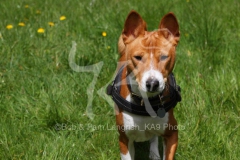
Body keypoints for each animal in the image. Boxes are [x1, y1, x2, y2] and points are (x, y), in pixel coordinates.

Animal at [107, 10, 180, 159]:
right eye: (138, 57)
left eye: (164, 57)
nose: (152, 83)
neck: (146, 104)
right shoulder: (124, 139)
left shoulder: (172, 133)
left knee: (153, 137)